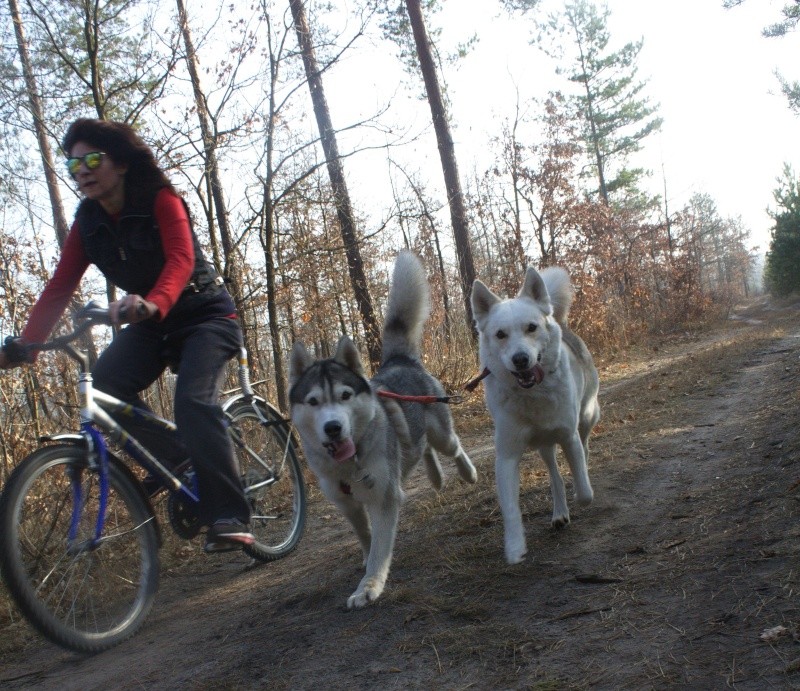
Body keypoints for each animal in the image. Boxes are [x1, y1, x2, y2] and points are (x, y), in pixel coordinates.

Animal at [472, 268, 596, 564]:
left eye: (531, 327)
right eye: (500, 334)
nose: (520, 359)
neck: (532, 395)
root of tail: (559, 320)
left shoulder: (569, 437)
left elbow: (584, 491)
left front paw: (582, 487)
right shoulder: (506, 456)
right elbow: (510, 508)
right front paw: (515, 546)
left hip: (587, 416)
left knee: (583, 448)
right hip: (544, 447)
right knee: (554, 475)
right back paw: (559, 511)